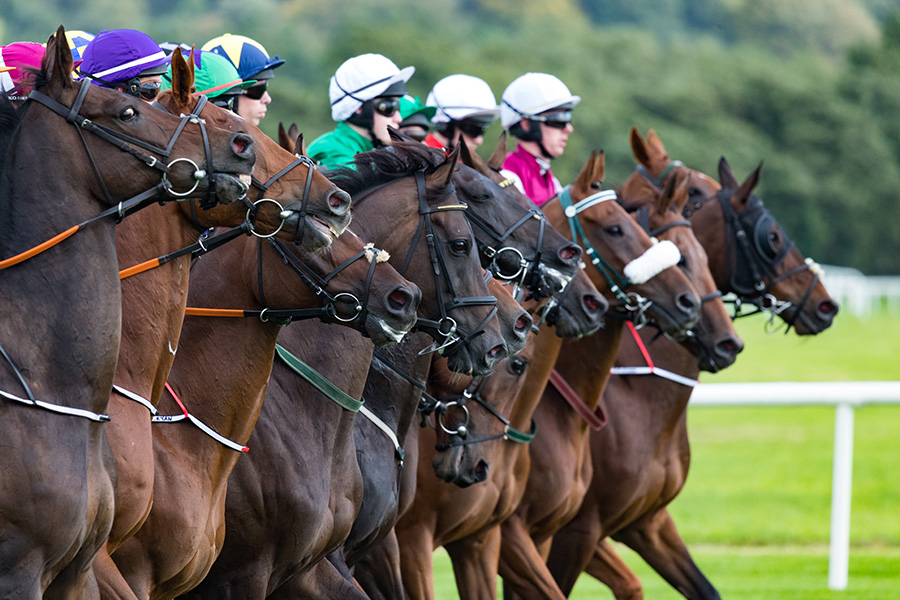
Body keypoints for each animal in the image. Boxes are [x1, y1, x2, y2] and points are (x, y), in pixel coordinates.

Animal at [544, 130, 840, 600]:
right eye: (772, 237)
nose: (826, 304)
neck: (634, 391)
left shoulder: (645, 522)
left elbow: (692, 588)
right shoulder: (576, 529)